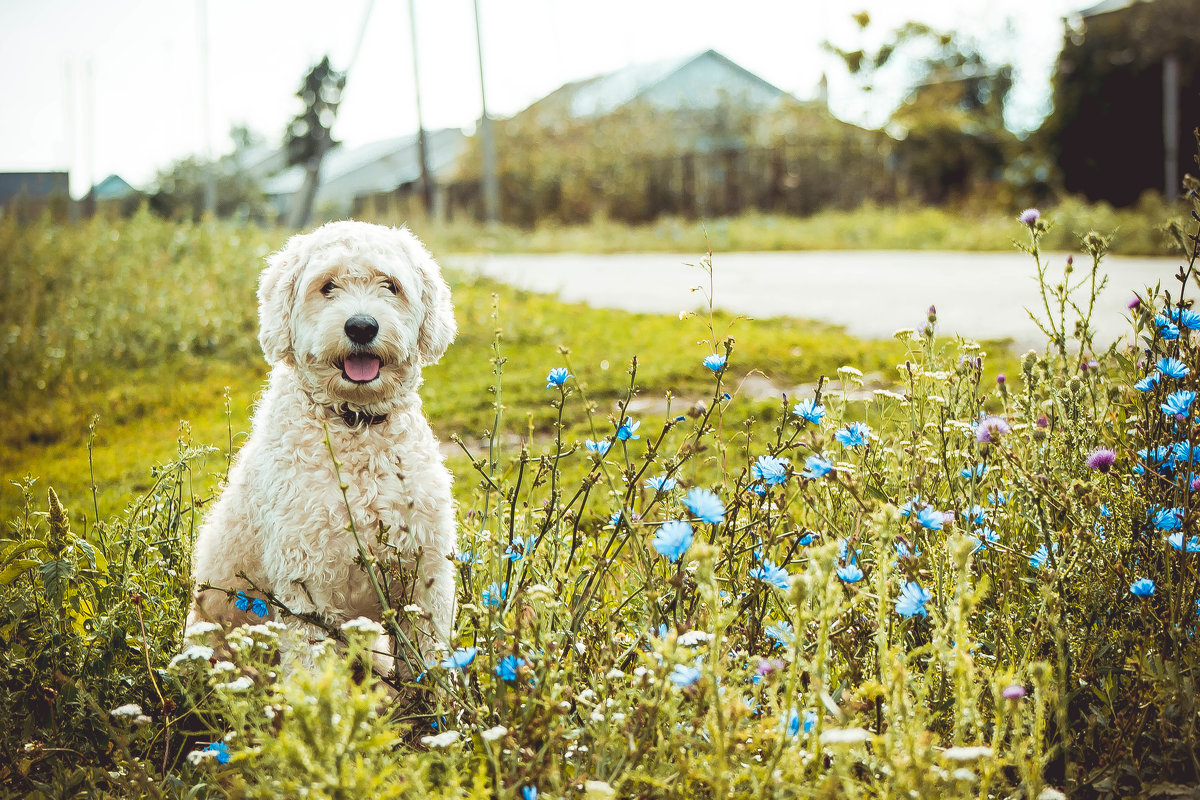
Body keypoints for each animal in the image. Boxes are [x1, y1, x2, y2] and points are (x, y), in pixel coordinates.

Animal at [189, 221, 456, 681]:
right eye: (327, 286)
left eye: (391, 285)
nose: (361, 327)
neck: (356, 426)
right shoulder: (307, 584)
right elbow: (312, 672)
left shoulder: (427, 574)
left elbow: (431, 660)